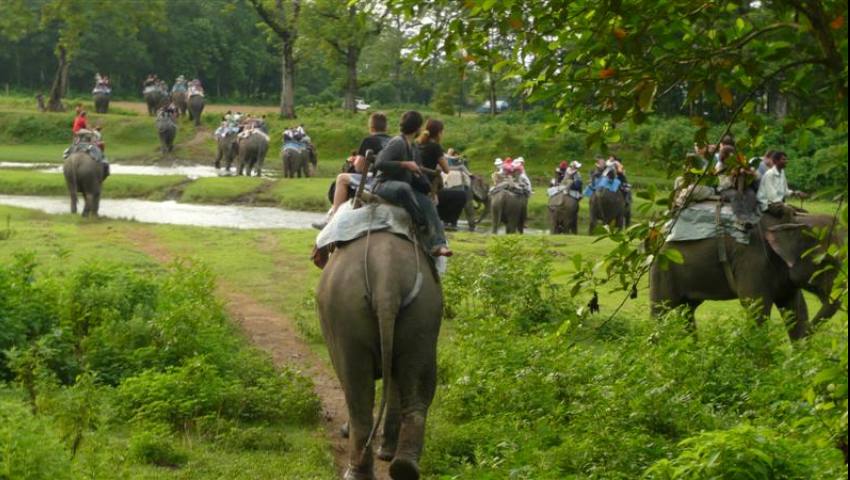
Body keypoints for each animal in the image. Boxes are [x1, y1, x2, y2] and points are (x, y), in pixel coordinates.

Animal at [314, 231, 440, 480]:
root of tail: (386, 279)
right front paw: (386, 453)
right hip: (424, 311)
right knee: (418, 385)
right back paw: (404, 466)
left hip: (346, 314)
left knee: (356, 392)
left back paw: (356, 473)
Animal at [648, 214, 840, 342]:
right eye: (825, 261)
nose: (809, 333)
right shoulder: (753, 261)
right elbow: (757, 308)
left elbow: (796, 309)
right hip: (663, 269)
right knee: (660, 312)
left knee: (687, 309)